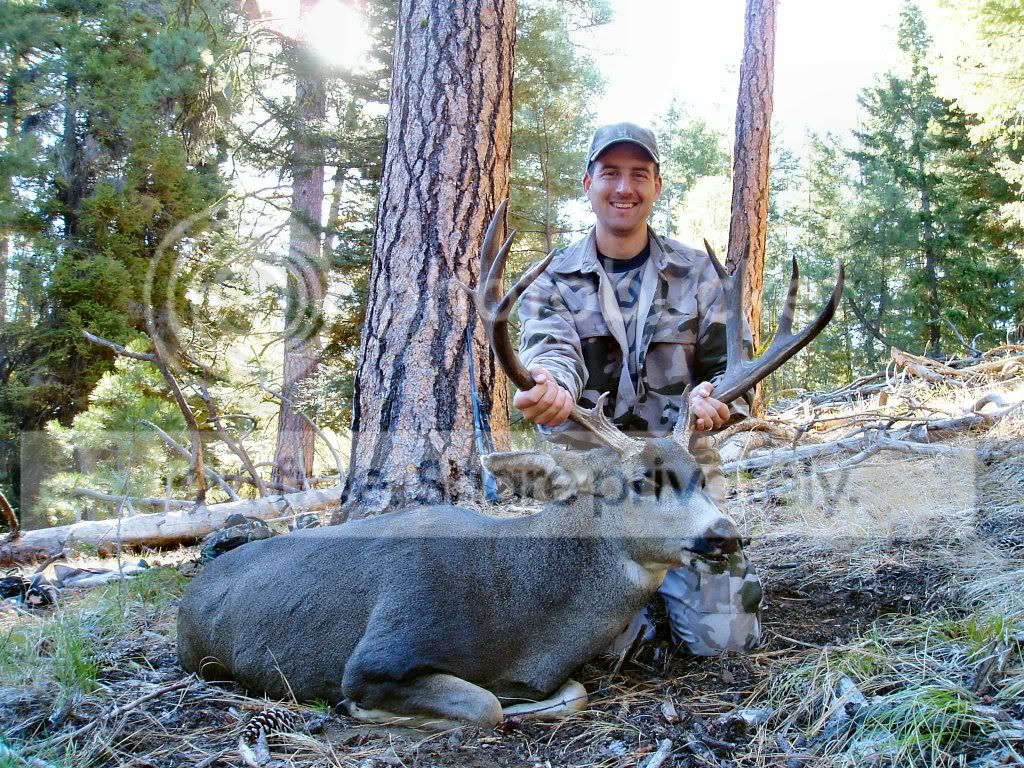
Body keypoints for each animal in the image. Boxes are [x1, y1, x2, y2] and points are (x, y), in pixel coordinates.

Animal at [177, 202, 844, 729]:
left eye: (702, 476)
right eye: (635, 481)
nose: (725, 536)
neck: (518, 615)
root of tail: (190, 592)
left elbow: (569, 693)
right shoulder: (379, 652)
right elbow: (485, 706)